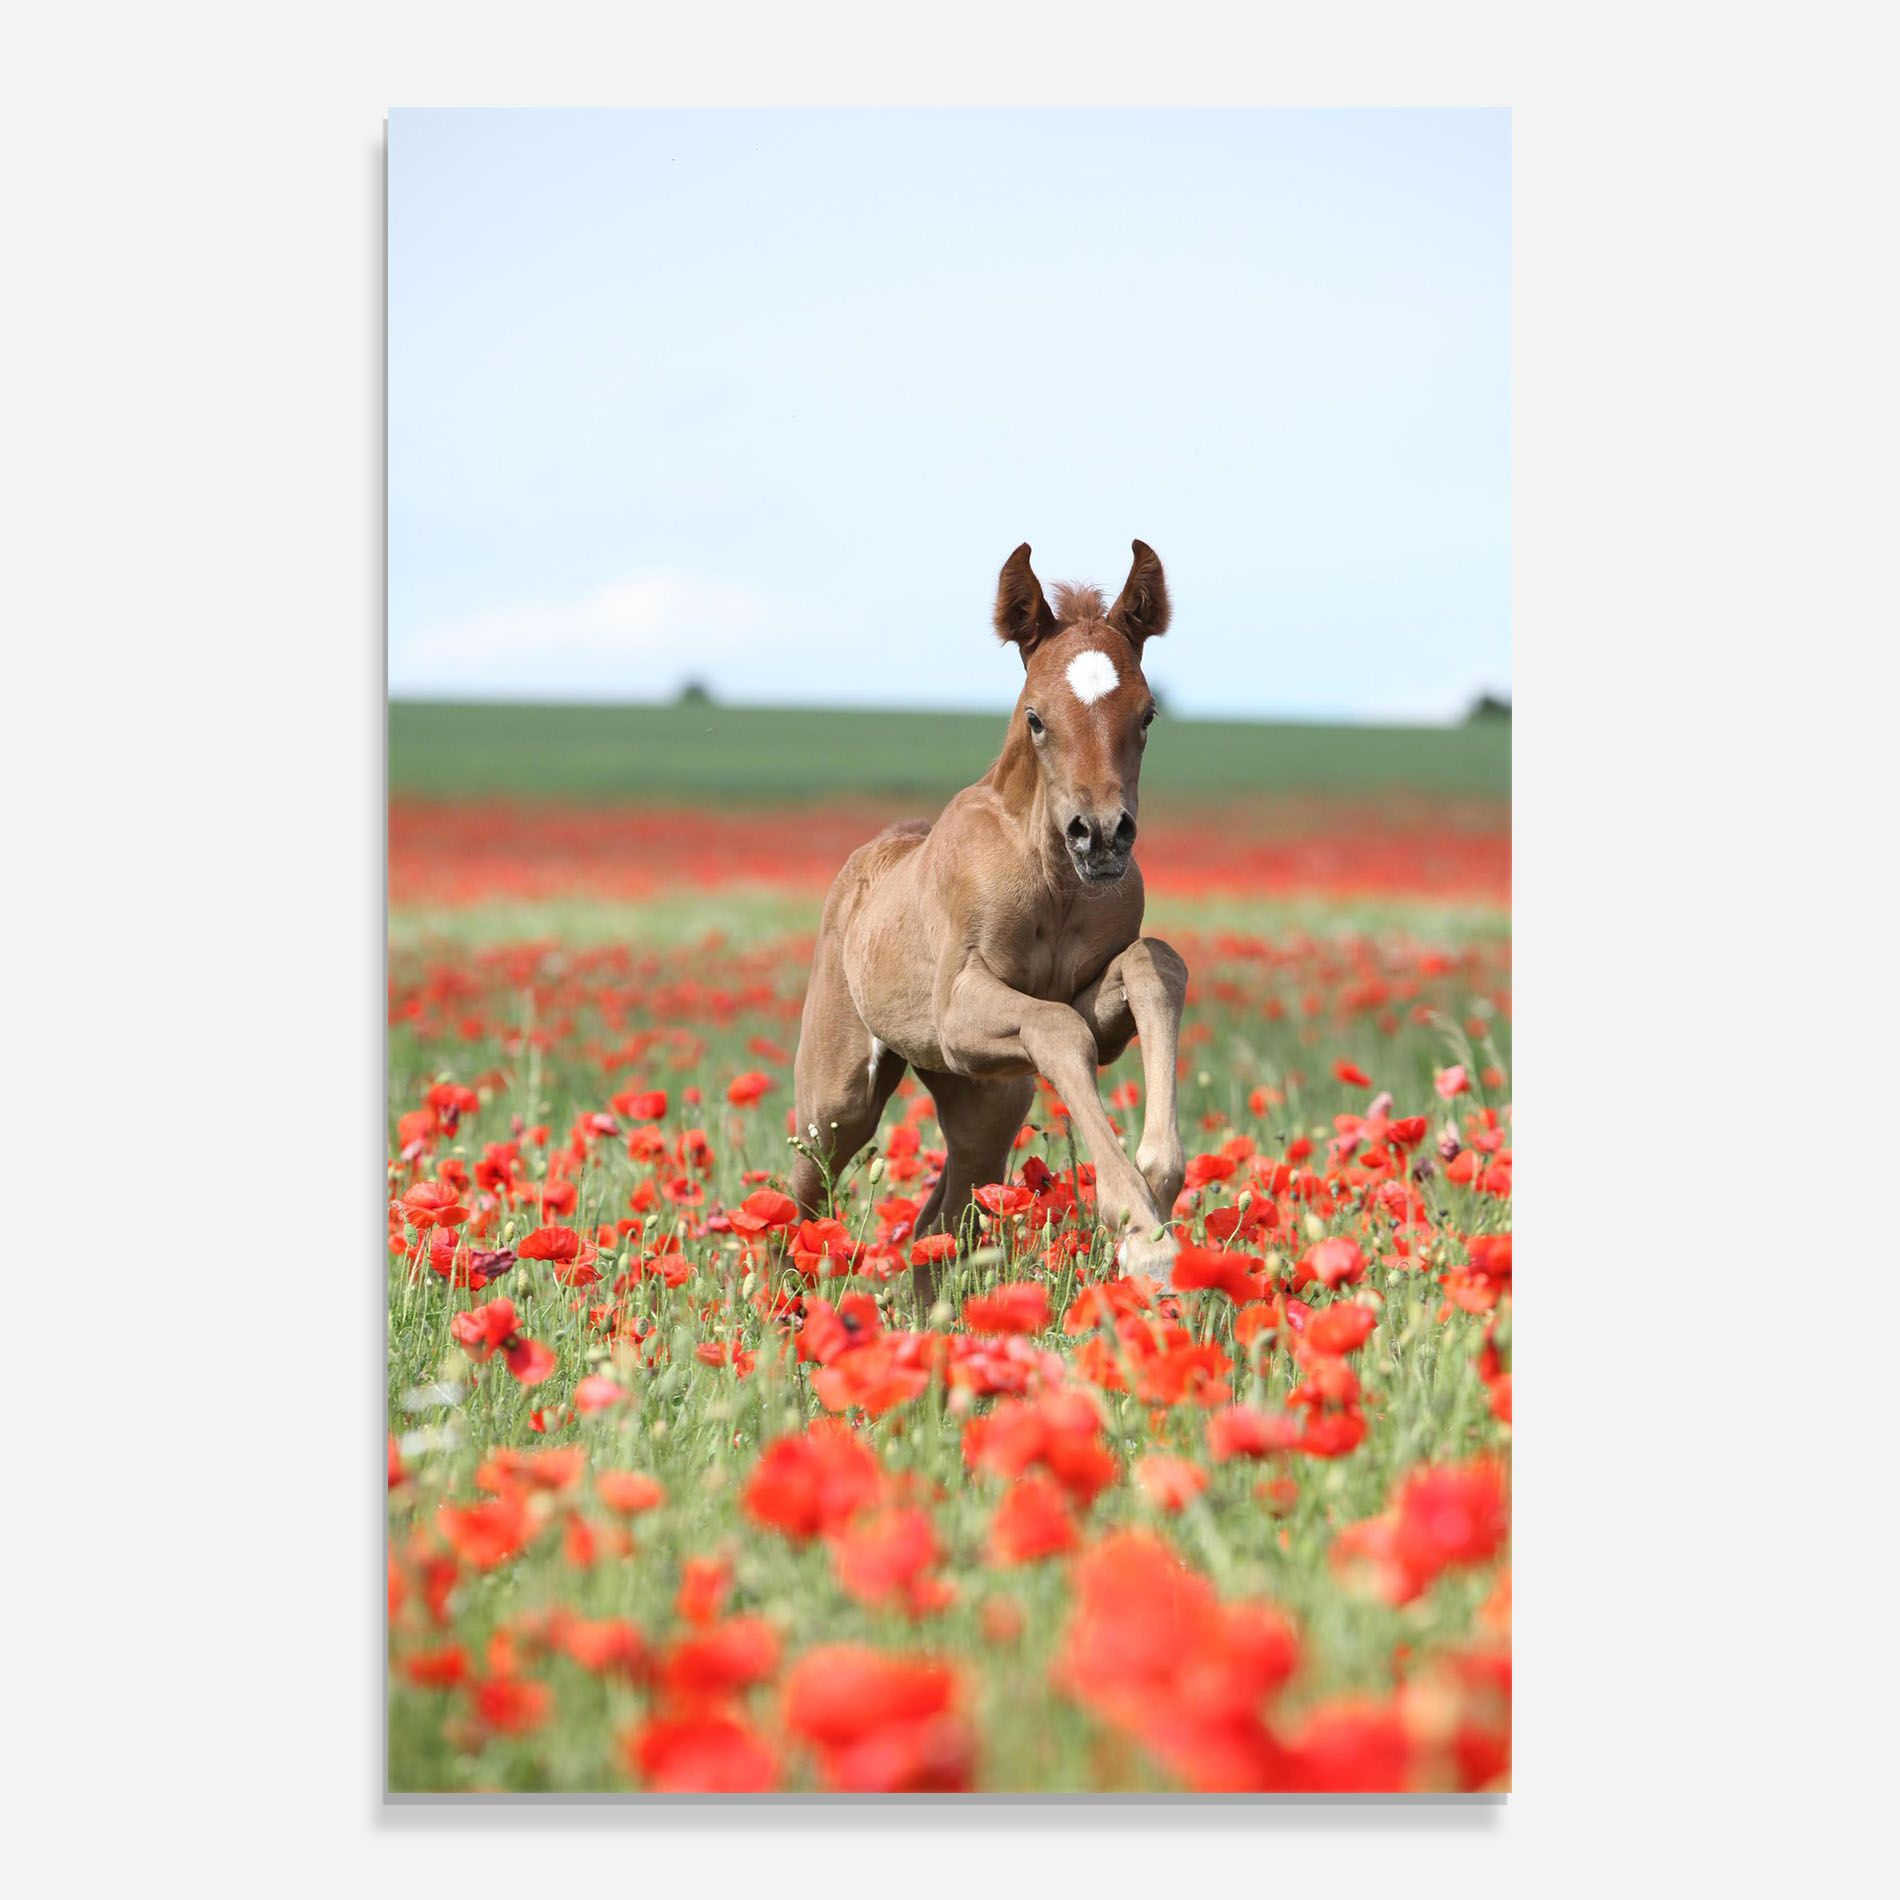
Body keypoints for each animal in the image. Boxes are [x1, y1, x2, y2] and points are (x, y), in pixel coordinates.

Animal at [789, 539, 1189, 1302]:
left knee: (939, 1222)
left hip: (985, 1099)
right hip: (840, 1095)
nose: (1101, 835)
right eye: (1036, 717)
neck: (1053, 881)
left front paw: (1158, 1181)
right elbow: (1056, 1029)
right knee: (800, 1196)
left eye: (1148, 715)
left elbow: (1153, 965)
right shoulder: (959, 1011)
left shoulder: (1090, 1007)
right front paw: (1142, 1234)